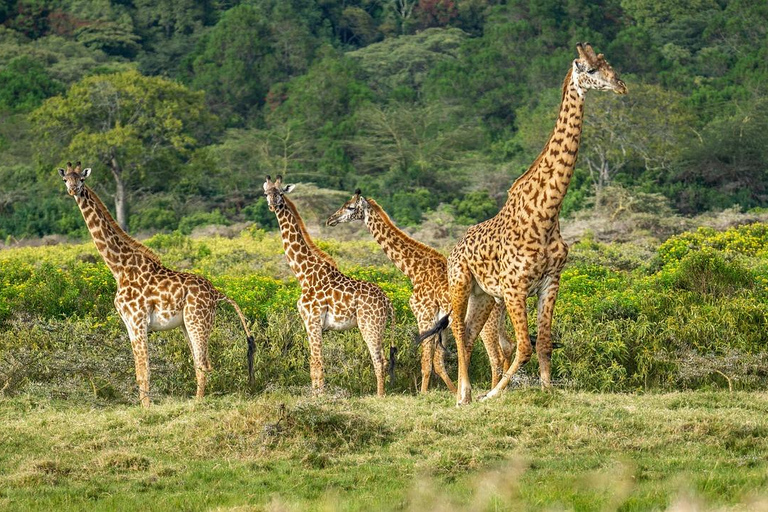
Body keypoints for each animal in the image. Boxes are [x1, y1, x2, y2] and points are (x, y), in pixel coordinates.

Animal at [58, 162, 255, 406]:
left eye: (82, 179)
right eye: (65, 179)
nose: (73, 190)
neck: (120, 268)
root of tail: (217, 293)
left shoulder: (138, 321)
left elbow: (144, 371)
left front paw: (147, 408)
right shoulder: (129, 324)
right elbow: (139, 371)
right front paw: (144, 406)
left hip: (198, 321)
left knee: (203, 364)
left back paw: (197, 404)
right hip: (187, 324)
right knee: (199, 363)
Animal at [264, 175, 396, 396]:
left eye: (281, 193)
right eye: (266, 192)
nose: (273, 205)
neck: (303, 274)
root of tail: (387, 301)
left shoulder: (313, 319)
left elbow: (317, 362)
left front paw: (320, 396)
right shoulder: (308, 322)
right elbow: (313, 362)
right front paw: (316, 393)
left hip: (369, 324)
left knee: (379, 360)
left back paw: (380, 396)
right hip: (378, 325)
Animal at [326, 192, 512, 392]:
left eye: (350, 207)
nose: (331, 219)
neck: (414, 270)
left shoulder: (424, 316)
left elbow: (426, 363)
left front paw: (424, 393)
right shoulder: (440, 323)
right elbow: (438, 363)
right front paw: (453, 391)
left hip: (487, 322)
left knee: (496, 358)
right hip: (499, 319)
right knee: (508, 347)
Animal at [440, 43, 628, 404]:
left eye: (609, 64)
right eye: (590, 69)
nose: (621, 86)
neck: (547, 214)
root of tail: (455, 247)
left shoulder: (551, 282)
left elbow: (543, 343)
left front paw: (547, 390)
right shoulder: (515, 288)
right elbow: (523, 347)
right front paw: (494, 394)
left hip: (484, 296)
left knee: (469, 334)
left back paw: (467, 393)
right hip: (460, 282)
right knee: (457, 329)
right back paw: (464, 394)